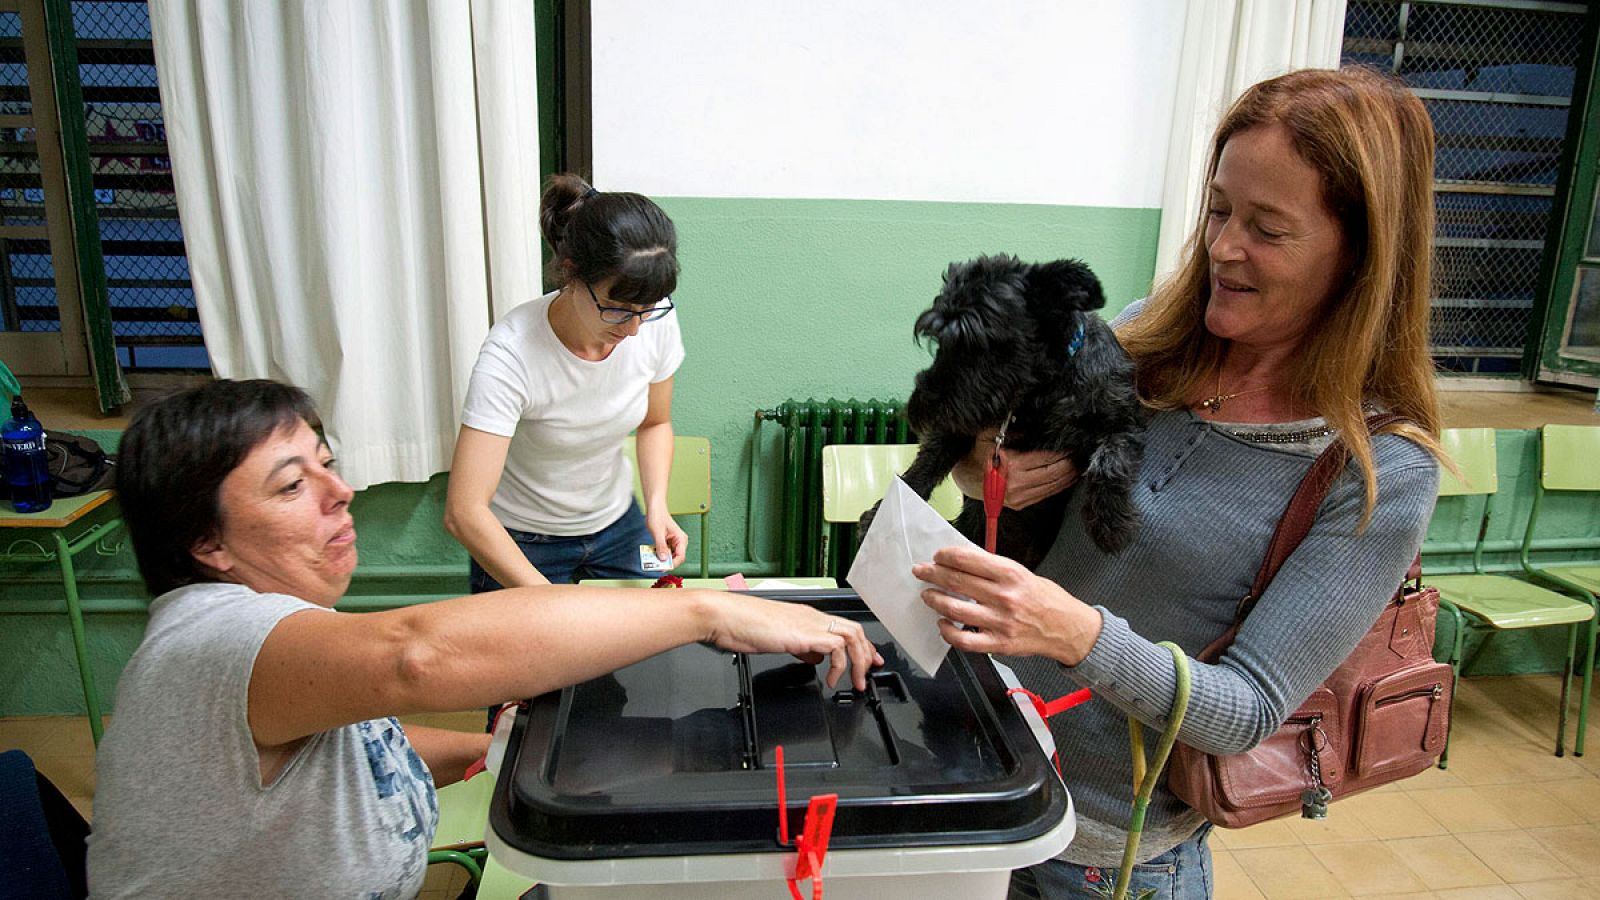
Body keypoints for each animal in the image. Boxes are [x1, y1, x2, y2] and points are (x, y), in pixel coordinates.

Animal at [870, 249, 1145, 566]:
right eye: (940, 341)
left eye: (983, 341)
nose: (922, 404)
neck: (1041, 391)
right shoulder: (963, 425)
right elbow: (929, 459)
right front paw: (882, 511)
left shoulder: (1123, 423)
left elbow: (1109, 460)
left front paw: (1109, 523)